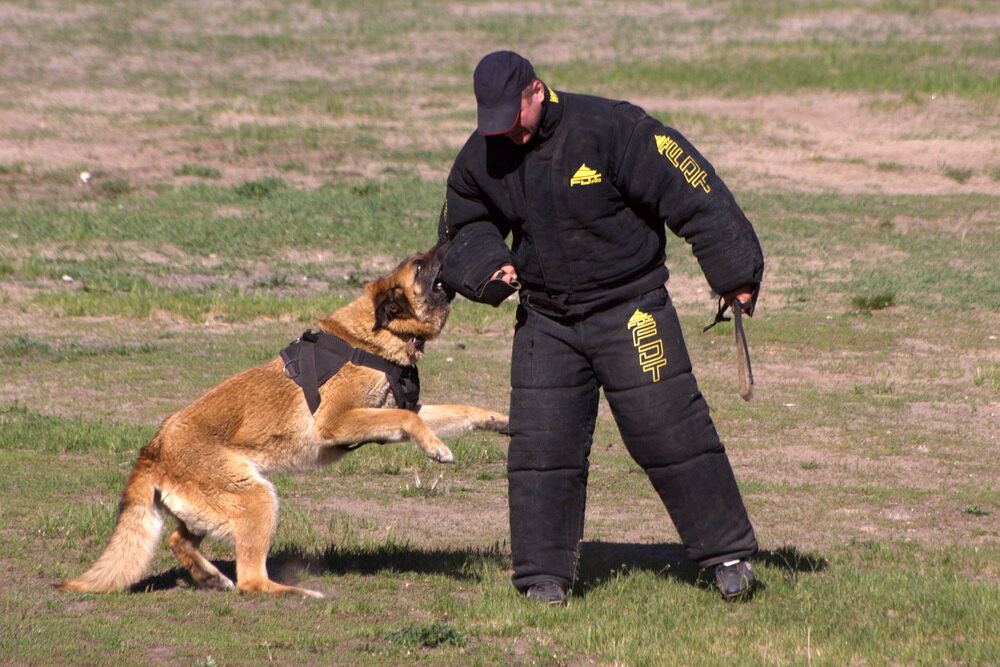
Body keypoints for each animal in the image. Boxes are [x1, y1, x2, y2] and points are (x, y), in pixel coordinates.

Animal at [57, 243, 508, 596]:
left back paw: (210, 578)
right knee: (251, 581)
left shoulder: (391, 413)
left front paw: (499, 421)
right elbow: (410, 420)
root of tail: (153, 448)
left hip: (218, 506)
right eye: (419, 263)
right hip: (258, 499)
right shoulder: (339, 423)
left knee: (177, 539)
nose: (450, 240)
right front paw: (437, 447)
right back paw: (295, 592)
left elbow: (459, 411)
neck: (370, 338)